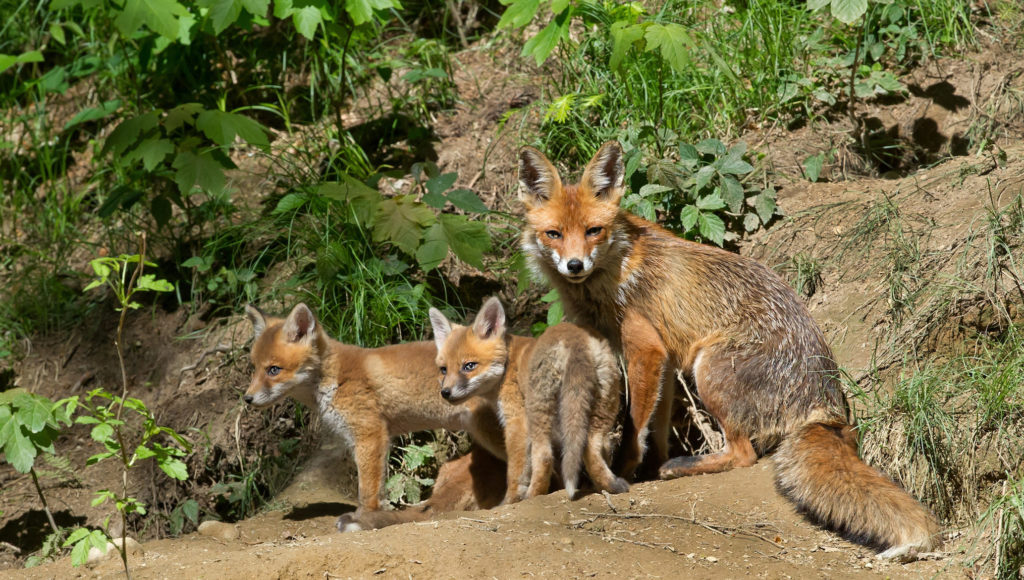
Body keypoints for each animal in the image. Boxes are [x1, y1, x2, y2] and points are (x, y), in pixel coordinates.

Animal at [516, 141, 937, 557]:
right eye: (554, 233)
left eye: (594, 230)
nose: (574, 265)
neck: (614, 269)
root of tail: (824, 407)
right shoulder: (666, 361)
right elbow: (658, 424)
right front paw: (648, 468)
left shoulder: (646, 349)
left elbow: (635, 424)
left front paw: (623, 472)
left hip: (709, 370)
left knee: (743, 455)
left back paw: (685, 466)